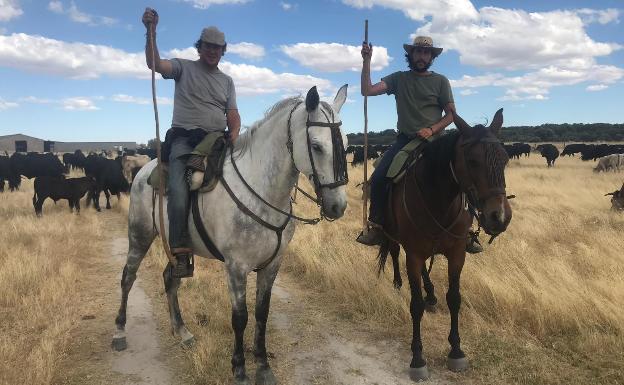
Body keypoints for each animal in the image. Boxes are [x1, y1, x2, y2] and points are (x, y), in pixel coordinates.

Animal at [378, 109, 510, 380]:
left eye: (505, 159)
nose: (499, 217)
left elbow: (454, 298)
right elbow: (415, 304)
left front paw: (456, 350)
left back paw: (430, 295)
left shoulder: (457, 253)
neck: (438, 199)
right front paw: (417, 358)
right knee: (395, 253)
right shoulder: (414, 254)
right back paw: (397, 284)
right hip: (394, 237)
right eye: (472, 161)